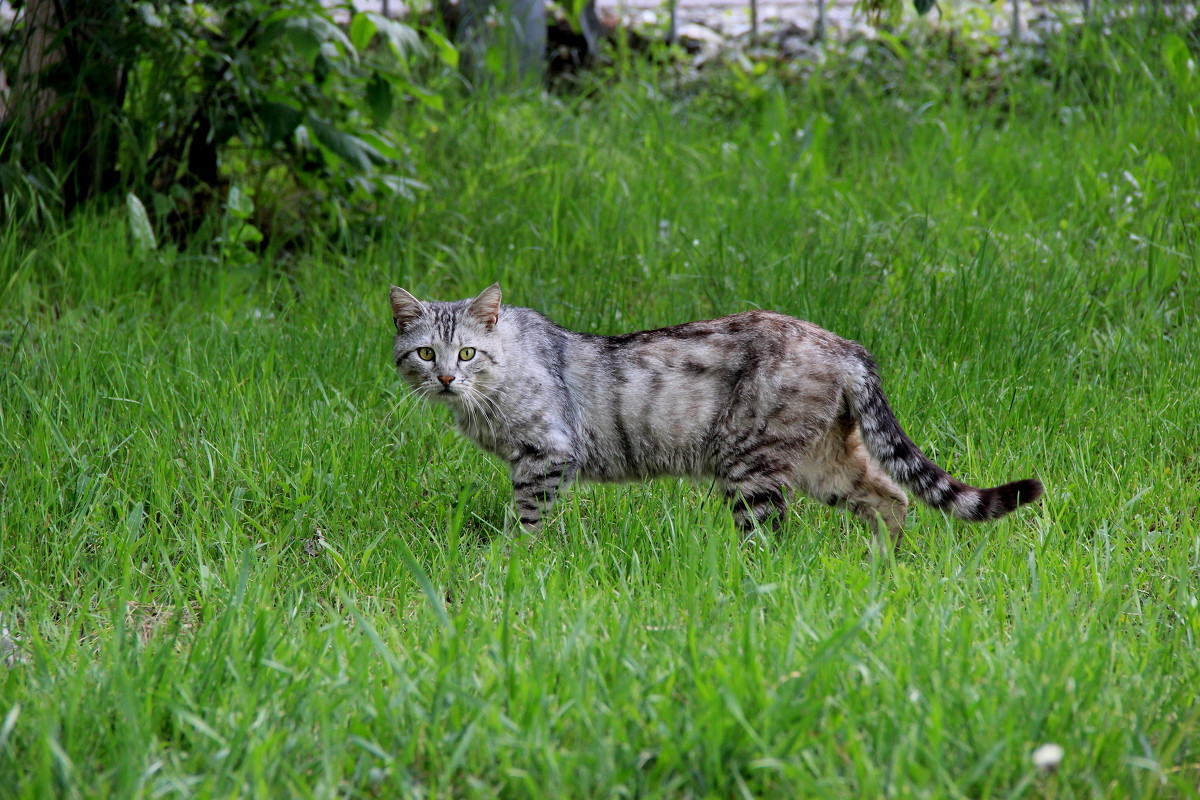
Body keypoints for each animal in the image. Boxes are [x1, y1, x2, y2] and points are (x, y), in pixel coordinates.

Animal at [391, 281, 1041, 551]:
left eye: (466, 353)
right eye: (425, 353)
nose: (445, 378)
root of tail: (843, 344)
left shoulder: (546, 455)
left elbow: (527, 522)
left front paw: (512, 567)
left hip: (751, 467)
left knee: (771, 539)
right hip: (822, 461)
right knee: (893, 496)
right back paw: (881, 566)